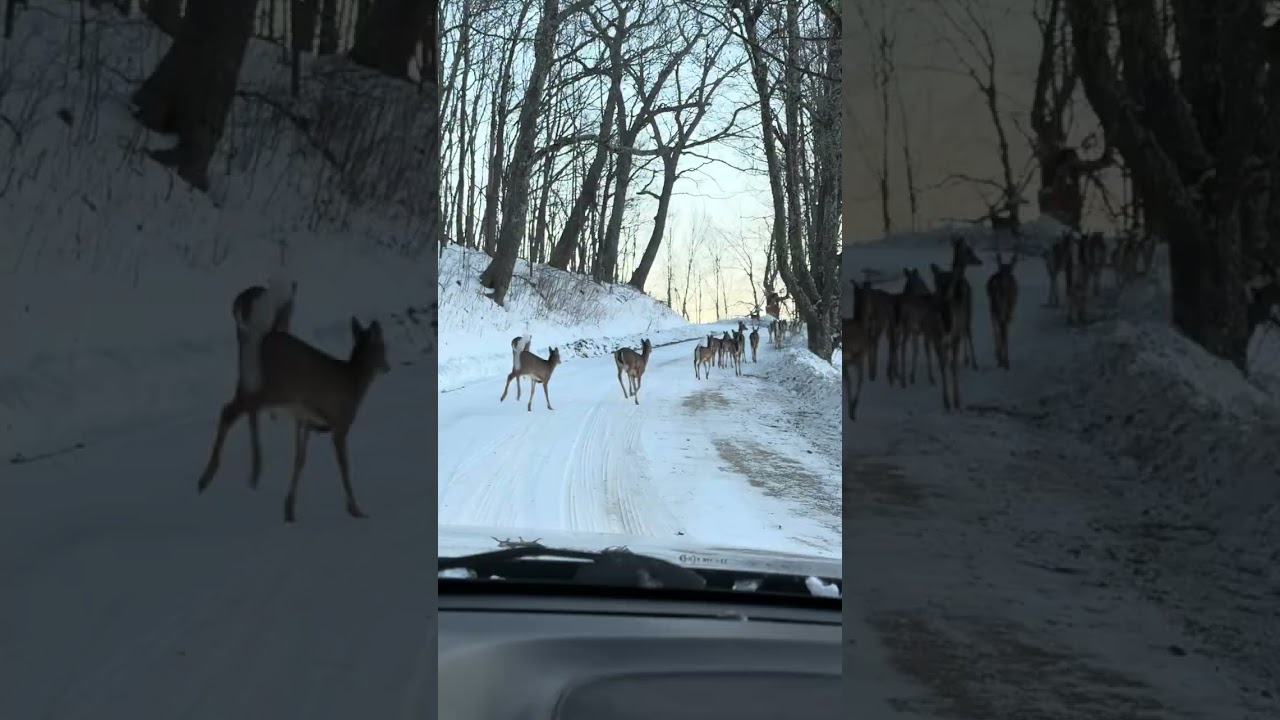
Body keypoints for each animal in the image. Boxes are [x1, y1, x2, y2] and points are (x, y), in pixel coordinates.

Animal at [195, 314, 391, 523]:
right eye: (383, 347)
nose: (387, 366)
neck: (355, 380)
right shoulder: (341, 424)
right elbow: (344, 466)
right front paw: (355, 509)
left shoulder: (306, 421)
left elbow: (300, 460)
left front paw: (289, 509)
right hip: (275, 387)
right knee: (238, 409)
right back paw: (235, 473)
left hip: (250, 383)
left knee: (232, 409)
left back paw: (212, 478)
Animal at [929, 235, 983, 371]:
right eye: (969, 250)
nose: (980, 261)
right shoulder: (966, 310)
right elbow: (968, 332)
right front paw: (973, 363)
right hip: (966, 312)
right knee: (967, 332)